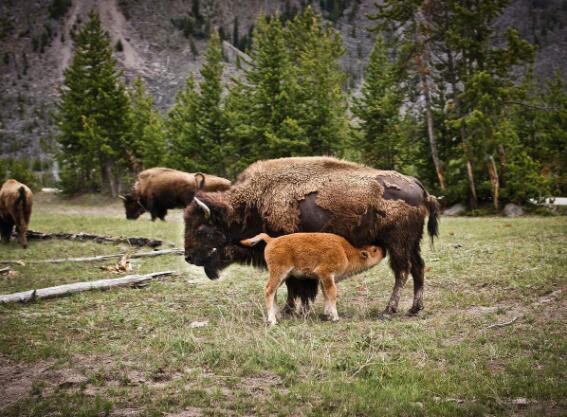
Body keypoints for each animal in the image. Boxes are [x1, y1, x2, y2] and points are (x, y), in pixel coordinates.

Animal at [242, 231, 384, 324]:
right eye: (374, 250)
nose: (383, 250)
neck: (346, 252)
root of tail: (271, 240)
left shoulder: (323, 278)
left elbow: (326, 294)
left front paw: (327, 314)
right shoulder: (326, 273)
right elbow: (332, 294)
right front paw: (335, 317)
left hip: (282, 276)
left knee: (273, 292)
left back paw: (278, 316)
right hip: (279, 272)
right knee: (269, 291)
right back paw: (272, 320)